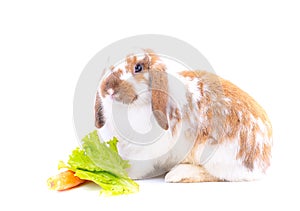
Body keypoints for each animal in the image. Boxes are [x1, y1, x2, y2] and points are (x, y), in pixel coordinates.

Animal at [95, 49, 274, 181]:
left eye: (138, 68)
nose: (108, 89)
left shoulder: (147, 151)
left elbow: (139, 166)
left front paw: (124, 173)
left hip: (214, 155)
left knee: (217, 175)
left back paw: (177, 174)